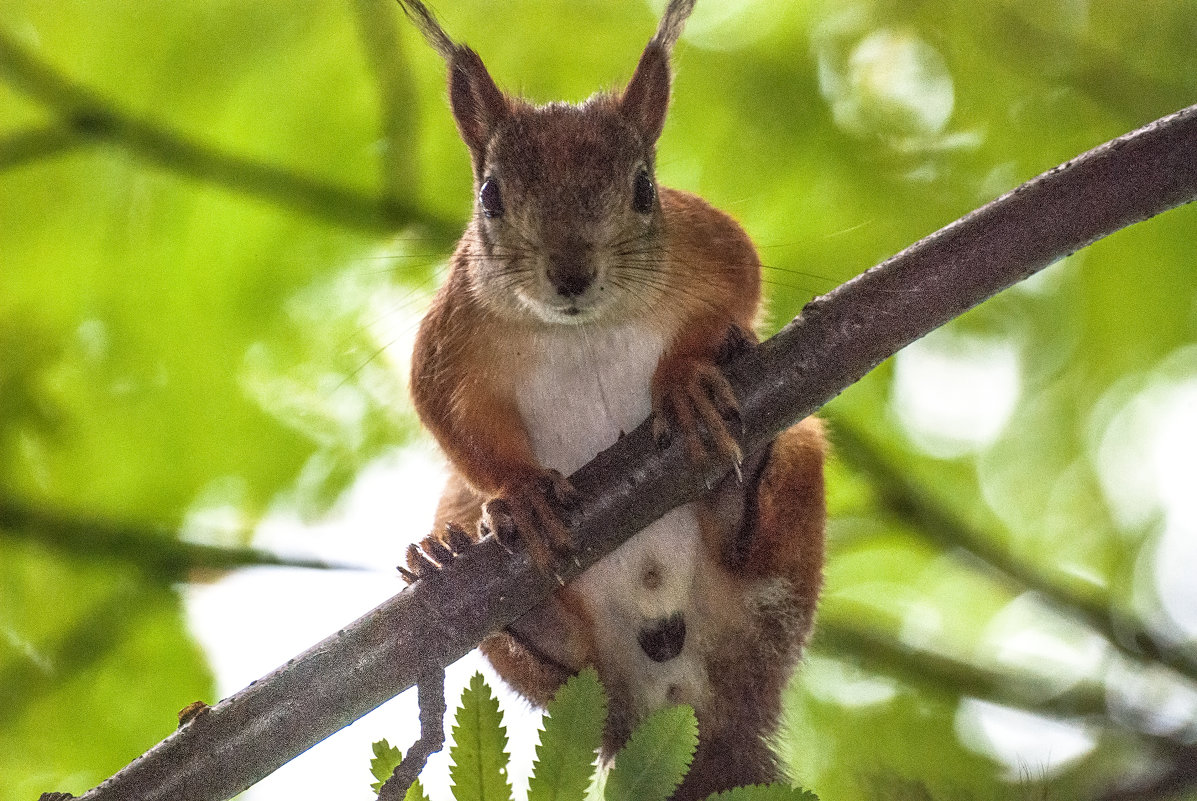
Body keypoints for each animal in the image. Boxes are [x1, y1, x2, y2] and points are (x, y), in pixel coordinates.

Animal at [397, 3, 828, 795]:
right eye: (490, 194)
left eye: (644, 188)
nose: (570, 273)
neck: (582, 330)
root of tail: (686, 702)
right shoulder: (447, 344)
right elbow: (449, 420)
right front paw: (523, 492)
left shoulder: (710, 243)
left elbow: (741, 287)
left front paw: (686, 382)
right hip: (536, 621)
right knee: (564, 656)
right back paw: (472, 575)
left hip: (789, 529)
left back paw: (743, 480)